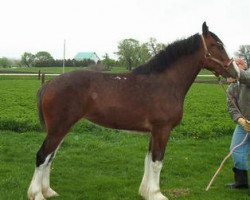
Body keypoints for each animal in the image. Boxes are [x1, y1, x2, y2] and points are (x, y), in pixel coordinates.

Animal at [27, 22, 238, 200]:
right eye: (218, 45)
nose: (235, 72)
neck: (165, 83)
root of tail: (50, 83)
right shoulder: (162, 130)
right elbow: (157, 161)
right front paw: (157, 194)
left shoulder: (154, 132)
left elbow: (149, 159)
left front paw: (146, 192)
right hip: (59, 128)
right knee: (42, 156)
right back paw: (37, 194)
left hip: (62, 128)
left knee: (50, 157)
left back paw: (48, 191)